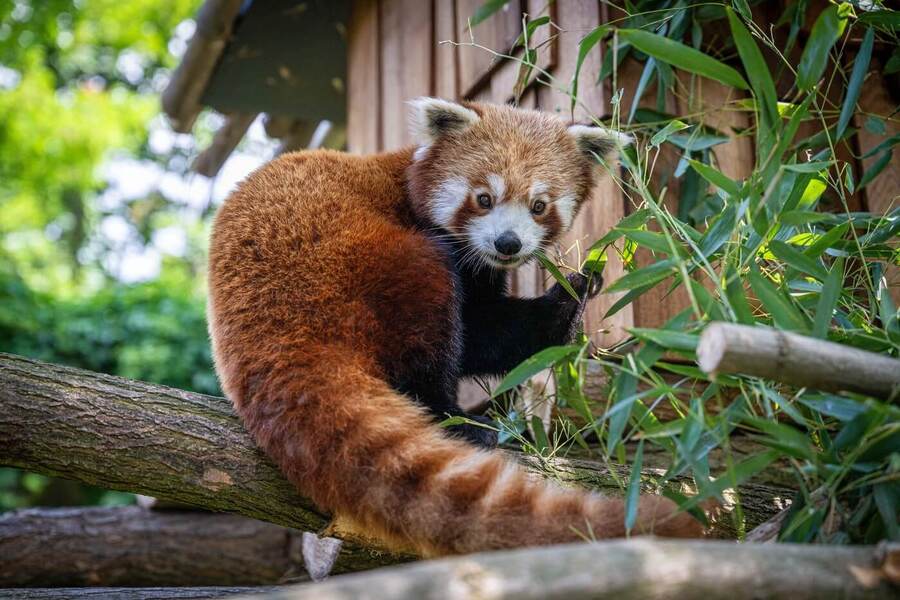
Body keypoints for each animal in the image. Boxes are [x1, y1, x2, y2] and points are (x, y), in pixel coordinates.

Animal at [207, 96, 708, 556]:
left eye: (539, 205)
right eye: (484, 198)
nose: (507, 243)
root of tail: (284, 318)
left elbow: (487, 335)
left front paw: (572, 296)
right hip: (366, 263)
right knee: (425, 328)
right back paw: (457, 418)